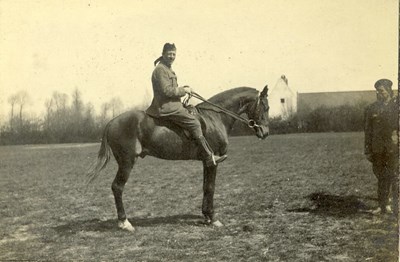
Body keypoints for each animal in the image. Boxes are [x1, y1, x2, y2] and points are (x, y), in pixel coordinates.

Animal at [86, 85, 270, 231]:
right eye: (266, 107)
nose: (265, 132)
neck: (214, 118)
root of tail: (111, 122)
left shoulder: (206, 162)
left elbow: (205, 187)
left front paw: (206, 216)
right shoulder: (213, 163)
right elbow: (211, 188)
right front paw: (213, 218)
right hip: (126, 162)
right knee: (117, 187)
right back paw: (124, 222)